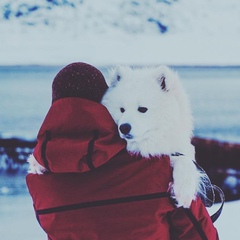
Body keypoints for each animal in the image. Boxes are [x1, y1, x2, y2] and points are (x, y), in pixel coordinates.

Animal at [101, 65, 206, 208]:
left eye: (142, 109)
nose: (124, 127)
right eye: (122, 109)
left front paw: (184, 191)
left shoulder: (179, 151)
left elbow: (186, 161)